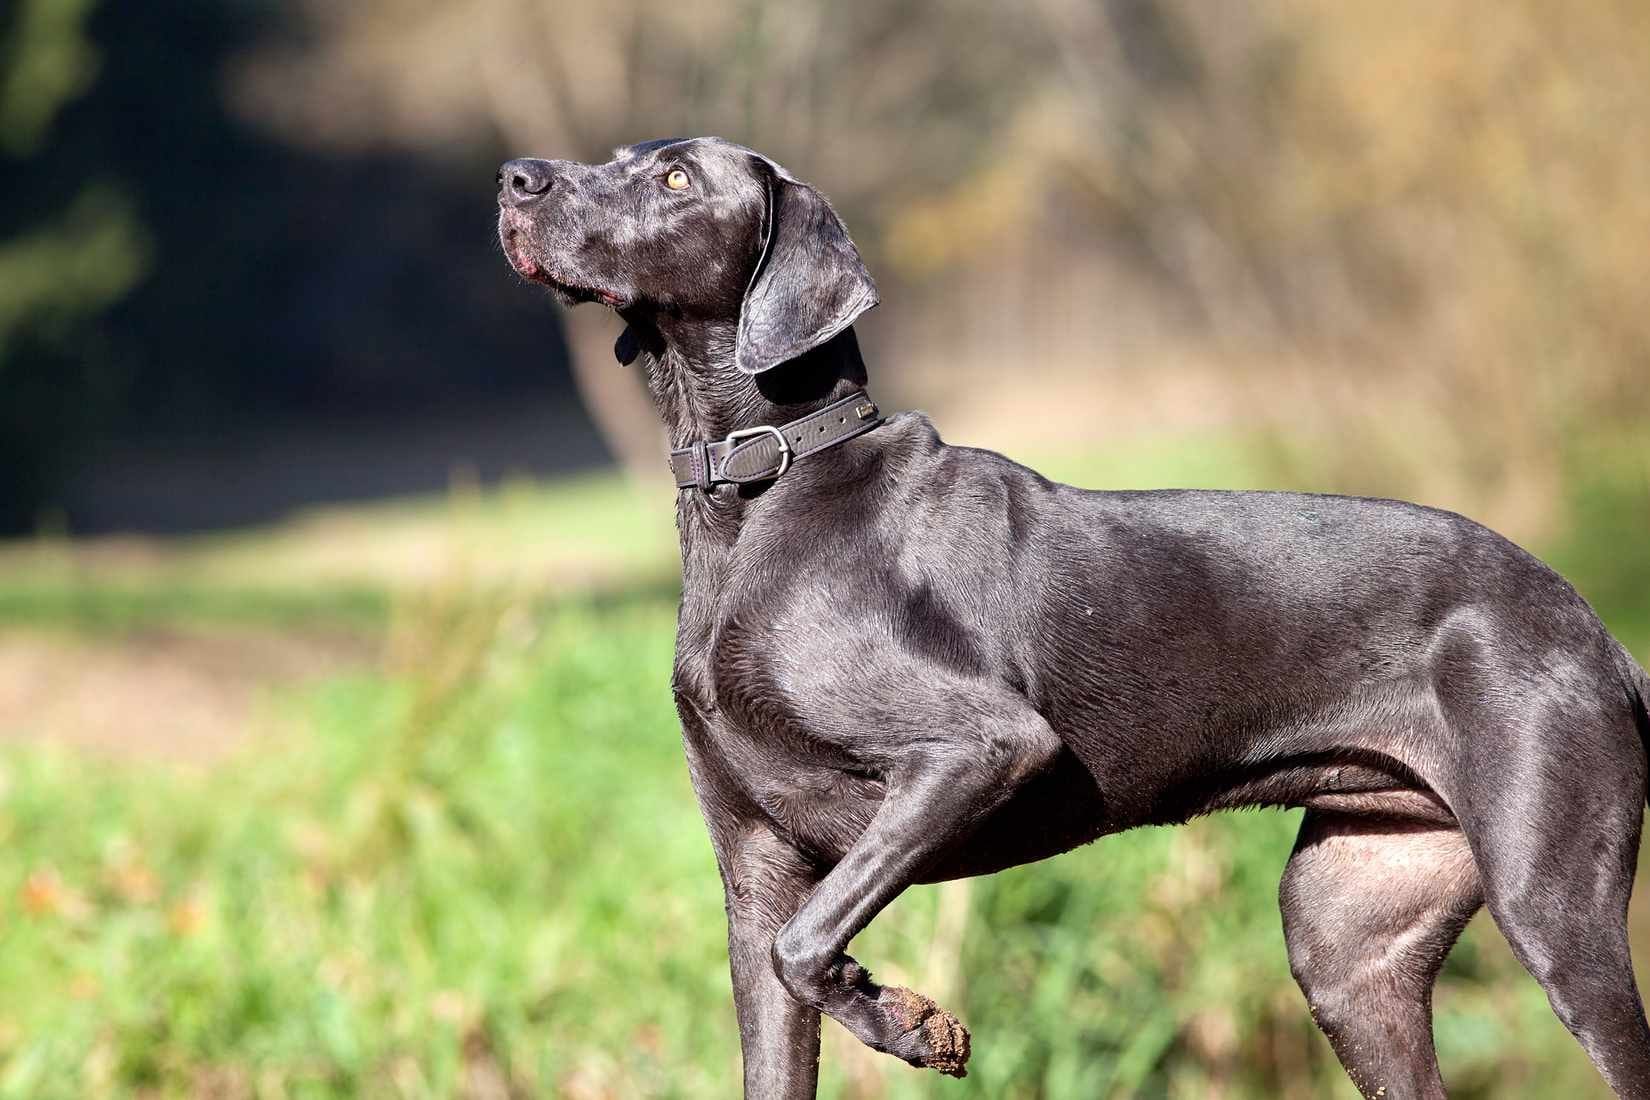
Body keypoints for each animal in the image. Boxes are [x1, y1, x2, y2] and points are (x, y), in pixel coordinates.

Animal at [491, 140, 1650, 1100]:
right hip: (1347, 938)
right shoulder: (755, 867)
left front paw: (912, 1023)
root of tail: (1600, 633)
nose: (514, 178)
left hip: (1555, 910)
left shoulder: (979, 748)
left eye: (675, 176)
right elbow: (780, 994)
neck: (765, 486)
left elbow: (811, 945)